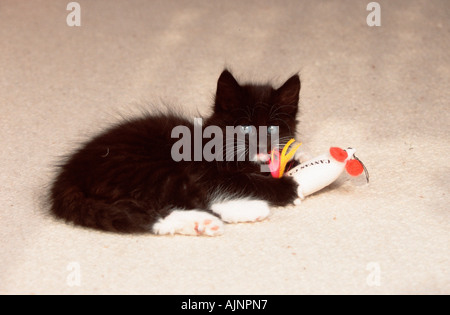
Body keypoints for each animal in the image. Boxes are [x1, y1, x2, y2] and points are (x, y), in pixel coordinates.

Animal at [49, 69, 302, 237]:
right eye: (245, 128)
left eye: (271, 129)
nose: (263, 147)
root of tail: (68, 175)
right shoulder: (207, 171)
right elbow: (243, 181)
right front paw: (287, 187)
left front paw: (293, 163)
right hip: (153, 170)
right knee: (186, 201)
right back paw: (242, 211)